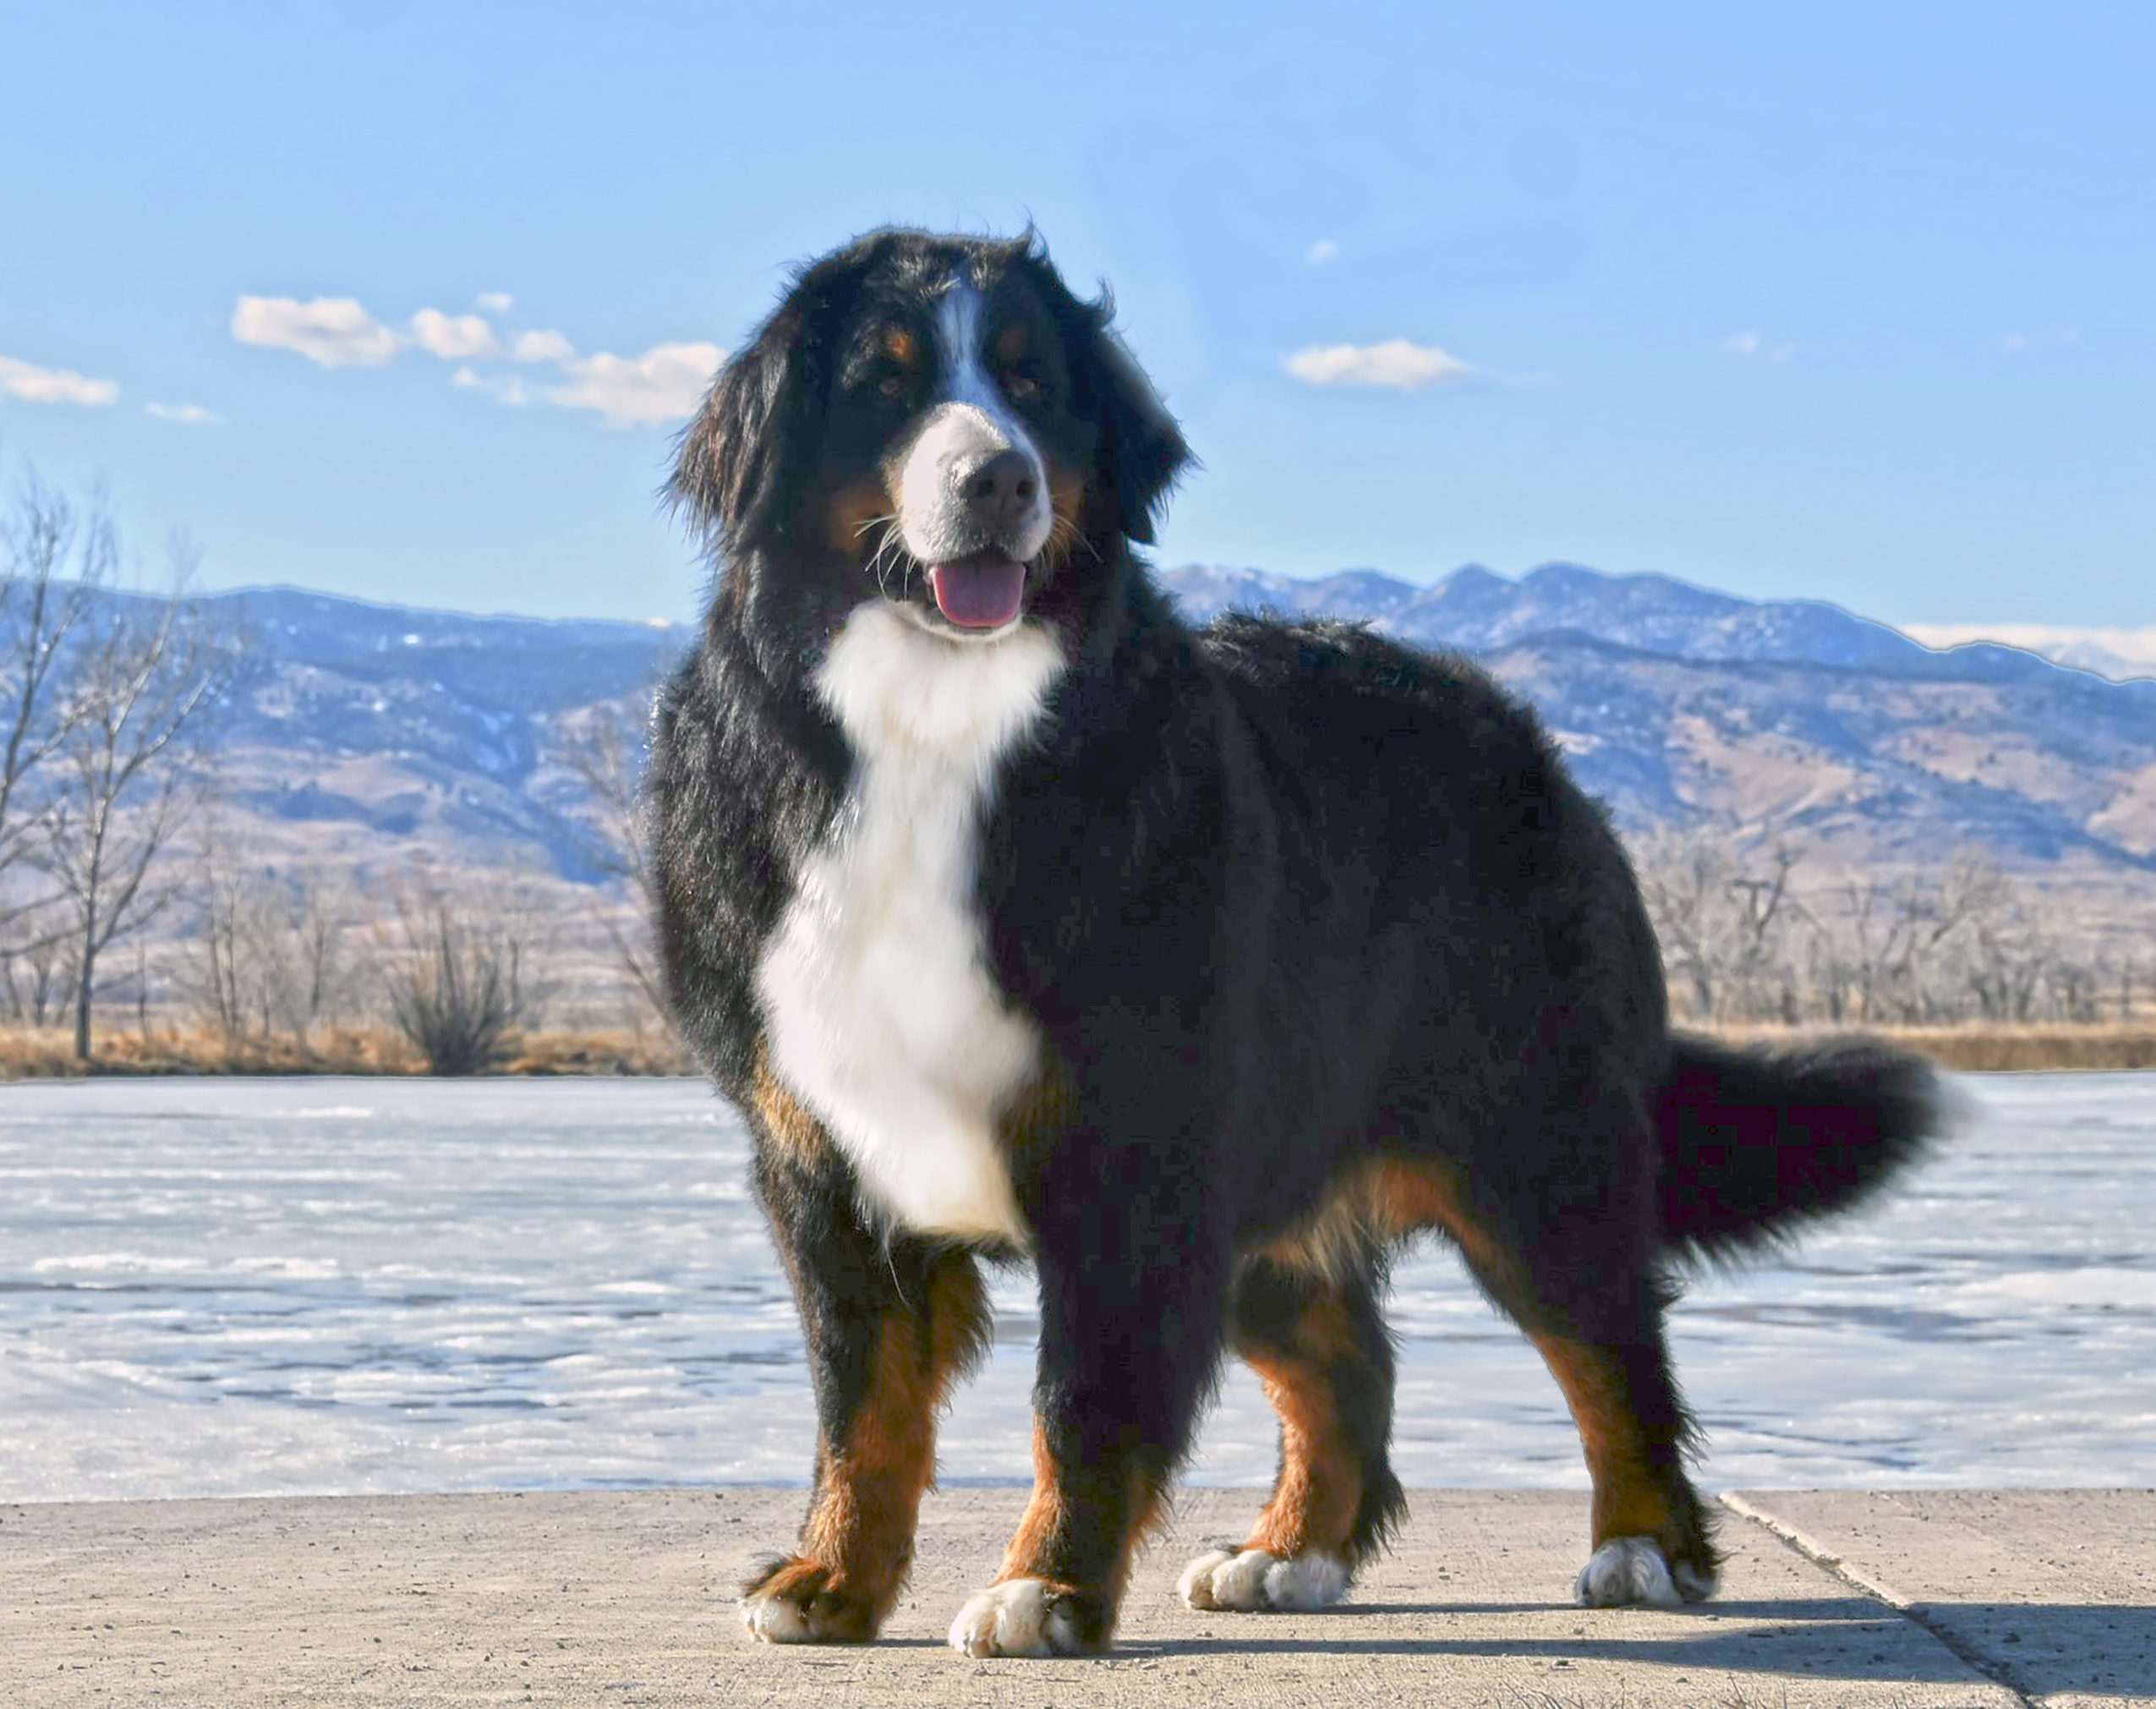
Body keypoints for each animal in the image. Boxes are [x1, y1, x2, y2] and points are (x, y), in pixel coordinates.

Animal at [647, 226, 1949, 1655]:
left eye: (1032, 384)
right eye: (883, 384)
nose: (996, 476)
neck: (933, 732)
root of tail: (1521, 736)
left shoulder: (1128, 1152)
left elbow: (1081, 1402)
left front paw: (1045, 1588)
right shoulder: (823, 1151)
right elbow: (859, 1403)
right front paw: (831, 1578)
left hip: (1526, 1145)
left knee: (1611, 1346)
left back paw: (1644, 1544)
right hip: (1273, 1167)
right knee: (1345, 1367)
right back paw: (1288, 1552)